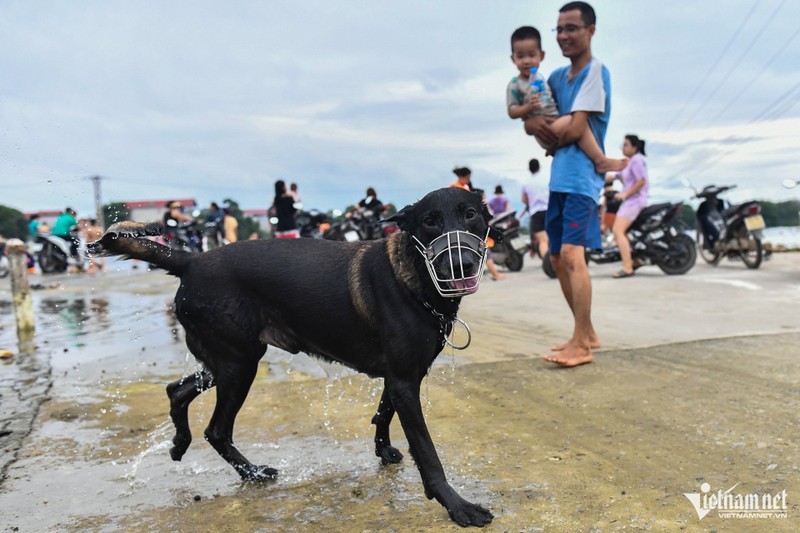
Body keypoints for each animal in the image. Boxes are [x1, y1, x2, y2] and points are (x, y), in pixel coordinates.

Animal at [92, 187, 494, 528]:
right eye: (430, 221)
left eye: (471, 214)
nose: (459, 261)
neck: (414, 277)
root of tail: (190, 261)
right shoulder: (405, 382)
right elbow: (427, 452)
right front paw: (458, 506)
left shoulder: (400, 377)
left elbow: (383, 412)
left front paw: (384, 450)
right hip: (240, 364)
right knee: (216, 430)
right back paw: (251, 473)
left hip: (224, 362)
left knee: (177, 390)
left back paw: (179, 443)